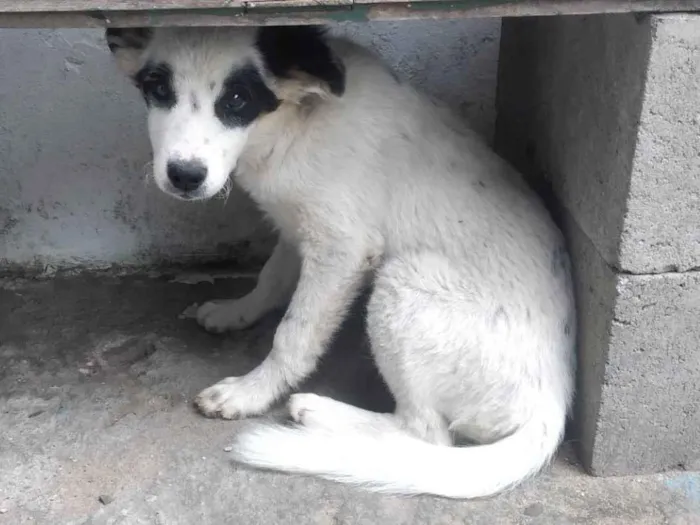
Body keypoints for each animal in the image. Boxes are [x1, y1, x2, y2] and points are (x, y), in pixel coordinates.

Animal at [105, 25, 576, 500]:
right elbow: (270, 278)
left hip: (403, 285)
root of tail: (551, 406)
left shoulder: (341, 248)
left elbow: (293, 335)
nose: (185, 176)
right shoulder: (296, 225)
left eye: (238, 99)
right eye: (158, 89)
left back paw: (320, 414)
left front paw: (252, 392)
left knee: (426, 433)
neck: (293, 123)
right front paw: (235, 312)